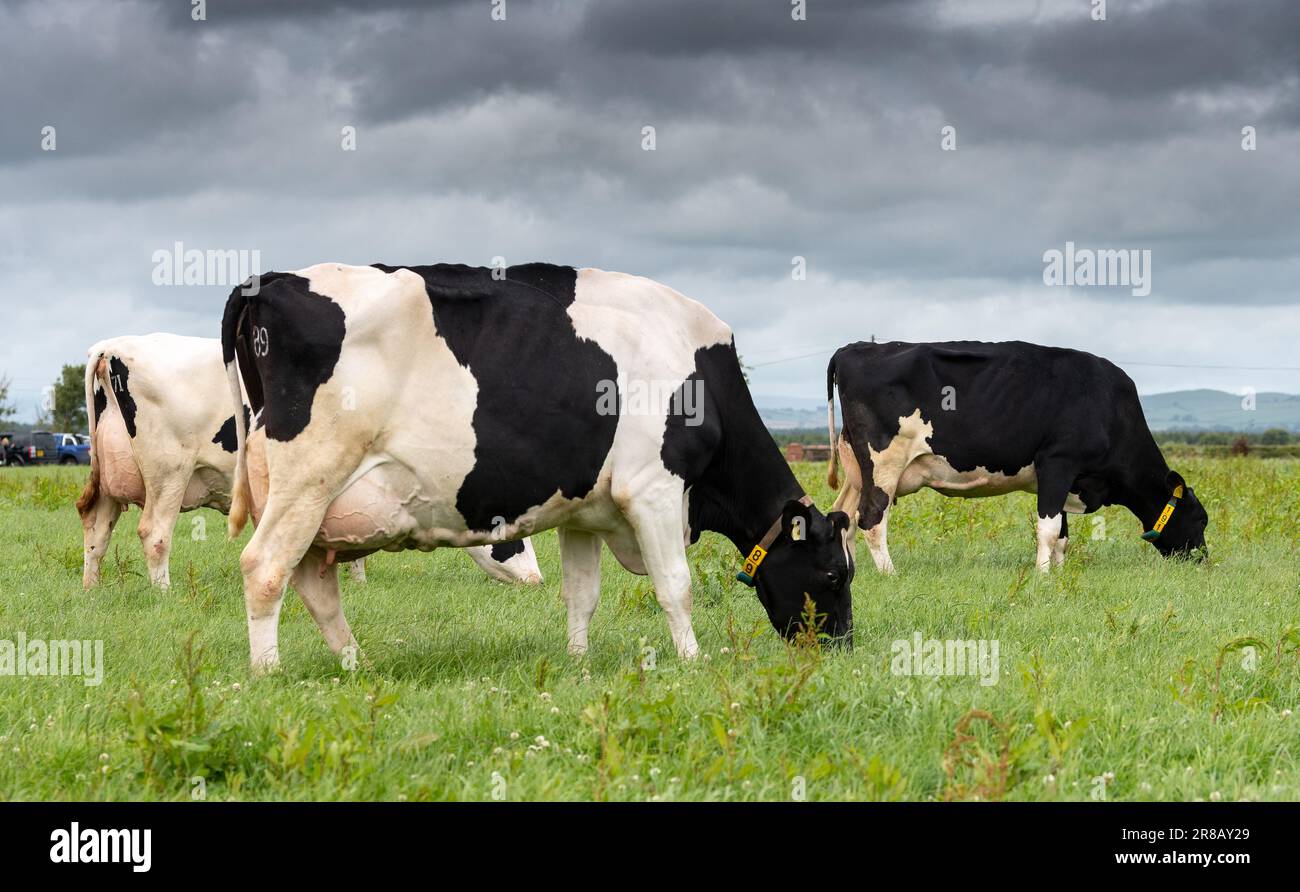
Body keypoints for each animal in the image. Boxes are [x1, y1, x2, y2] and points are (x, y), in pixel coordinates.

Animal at [76, 334, 542, 589]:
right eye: (510, 536)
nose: (537, 580)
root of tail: (112, 347)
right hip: (168, 469)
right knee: (155, 532)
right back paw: (164, 592)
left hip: (112, 479)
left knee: (96, 529)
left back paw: (92, 589)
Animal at [220, 262, 854, 671]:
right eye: (832, 575)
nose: (842, 648)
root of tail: (271, 279)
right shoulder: (653, 488)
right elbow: (676, 586)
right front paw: (693, 661)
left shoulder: (584, 509)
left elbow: (581, 593)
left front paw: (577, 662)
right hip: (310, 475)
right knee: (265, 569)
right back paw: (268, 672)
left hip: (312, 501)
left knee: (315, 583)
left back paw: (357, 666)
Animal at [826, 340, 1208, 573]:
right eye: (1202, 520)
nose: (1203, 558)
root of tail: (854, 348)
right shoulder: (1058, 463)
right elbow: (1049, 529)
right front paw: (1043, 577)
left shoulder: (1062, 479)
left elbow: (1063, 534)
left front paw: (1058, 573)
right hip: (883, 463)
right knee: (871, 519)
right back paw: (890, 573)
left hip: (857, 469)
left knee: (843, 516)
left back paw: (850, 571)